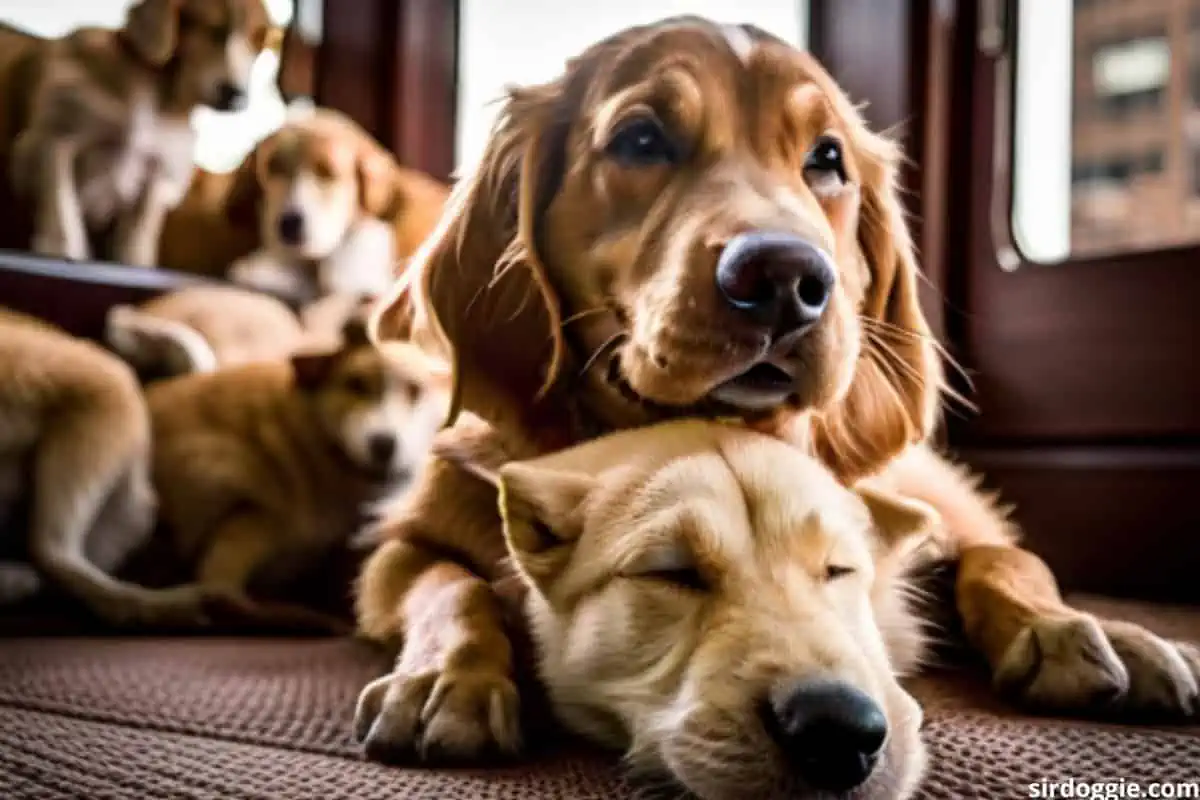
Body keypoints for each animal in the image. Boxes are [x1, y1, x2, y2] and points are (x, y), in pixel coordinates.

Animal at [0, 0, 272, 268]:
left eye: (259, 41)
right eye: (213, 28)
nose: (237, 96)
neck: (151, 88)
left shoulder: (160, 172)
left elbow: (139, 232)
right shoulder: (52, 140)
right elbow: (61, 203)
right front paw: (62, 248)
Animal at [355, 419, 936, 800]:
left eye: (838, 570)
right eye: (671, 572)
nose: (837, 727)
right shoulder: (397, 554)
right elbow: (452, 586)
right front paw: (448, 677)